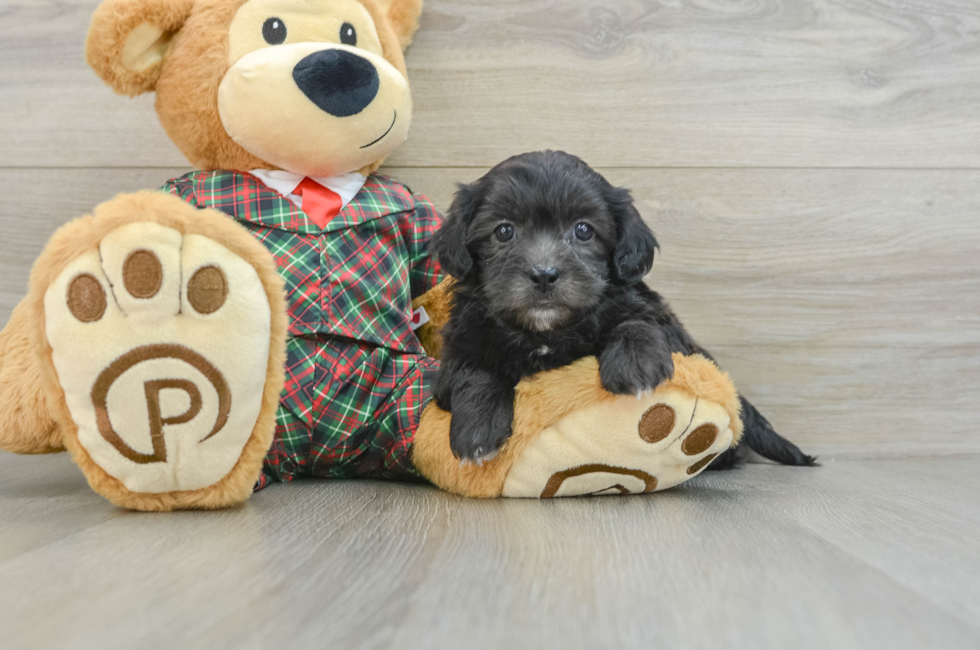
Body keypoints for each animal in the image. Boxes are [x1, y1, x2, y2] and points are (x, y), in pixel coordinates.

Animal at [432, 150, 816, 468]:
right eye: (504, 231)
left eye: (583, 230)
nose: (543, 274)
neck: (546, 332)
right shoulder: (459, 346)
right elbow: (475, 371)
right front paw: (477, 431)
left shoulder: (663, 324)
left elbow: (638, 321)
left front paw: (634, 366)